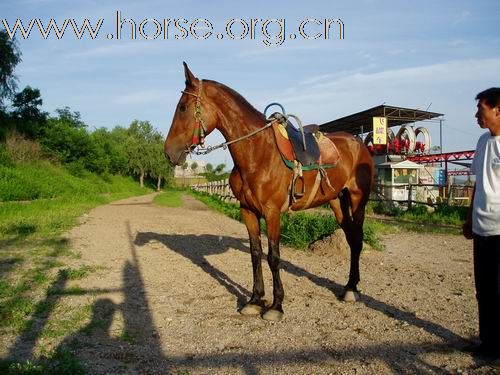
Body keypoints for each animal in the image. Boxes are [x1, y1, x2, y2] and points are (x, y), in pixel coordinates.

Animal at [166, 63, 374, 322]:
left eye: (183, 107)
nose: (169, 151)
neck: (257, 153)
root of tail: (358, 143)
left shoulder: (272, 213)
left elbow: (273, 257)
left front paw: (276, 306)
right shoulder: (248, 211)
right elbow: (255, 254)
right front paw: (255, 300)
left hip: (358, 200)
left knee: (357, 239)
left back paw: (352, 289)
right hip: (337, 202)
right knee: (350, 237)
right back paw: (349, 286)